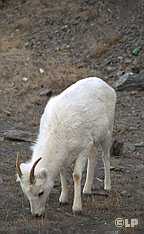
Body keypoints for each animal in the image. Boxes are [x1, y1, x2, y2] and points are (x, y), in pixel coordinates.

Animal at [16, 77, 116, 217]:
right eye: (26, 193)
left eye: (41, 192)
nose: (36, 215)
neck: (58, 131)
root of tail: (105, 85)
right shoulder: (67, 155)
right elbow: (62, 172)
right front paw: (63, 199)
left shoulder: (84, 148)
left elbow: (76, 175)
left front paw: (77, 208)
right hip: (94, 141)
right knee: (93, 157)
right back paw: (86, 190)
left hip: (107, 134)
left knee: (105, 156)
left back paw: (107, 186)